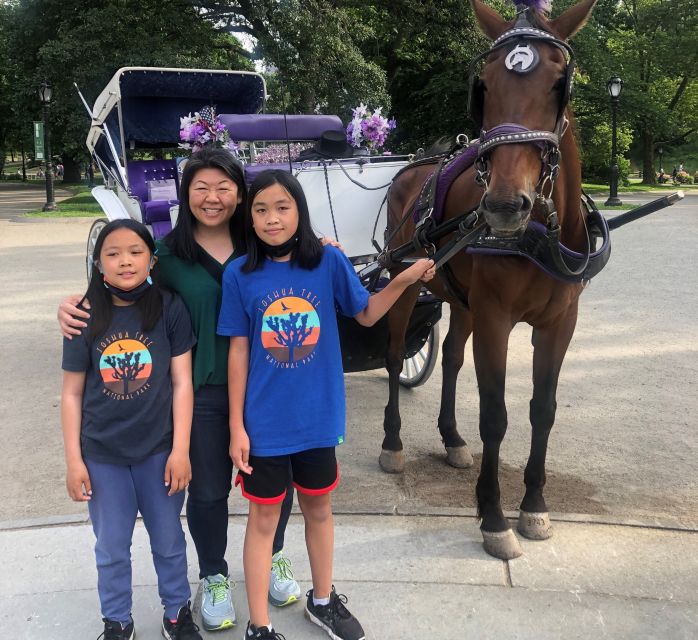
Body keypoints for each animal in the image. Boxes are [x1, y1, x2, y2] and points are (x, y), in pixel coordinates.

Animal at [378, 0, 596, 560]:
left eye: (559, 83)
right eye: (485, 88)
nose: (502, 205)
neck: (539, 233)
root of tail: (414, 167)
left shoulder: (561, 323)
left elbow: (543, 409)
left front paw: (534, 504)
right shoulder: (496, 318)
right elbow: (495, 415)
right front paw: (494, 517)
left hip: (462, 300)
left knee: (453, 356)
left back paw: (452, 439)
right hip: (403, 281)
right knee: (394, 354)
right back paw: (393, 442)